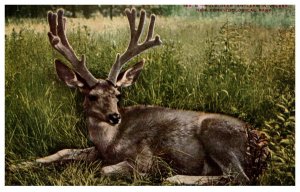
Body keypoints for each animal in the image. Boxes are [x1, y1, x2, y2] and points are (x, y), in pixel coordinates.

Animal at [35, 8, 270, 184]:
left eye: (117, 94)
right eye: (92, 96)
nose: (114, 117)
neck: (110, 143)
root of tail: (262, 146)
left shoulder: (145, 157)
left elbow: (105, 169)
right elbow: (64, 150)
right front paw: (34, 161)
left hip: (217, 136)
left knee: (239, 177)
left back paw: (176, 178)